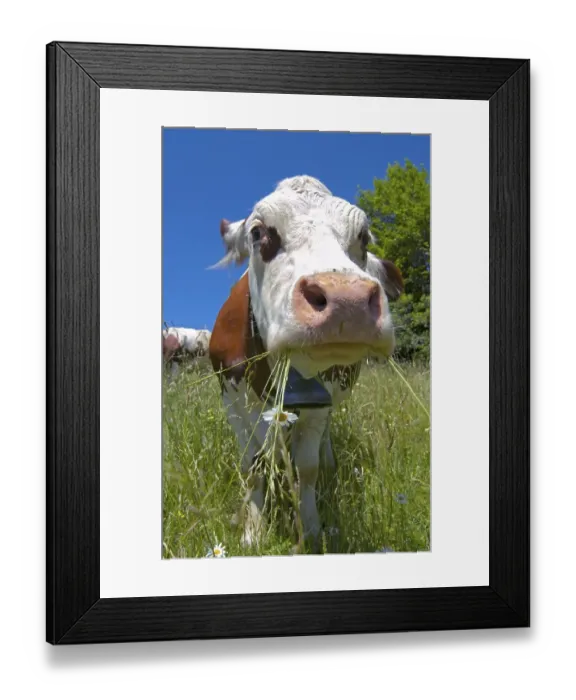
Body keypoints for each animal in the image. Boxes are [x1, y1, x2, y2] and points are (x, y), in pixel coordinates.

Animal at [208, 175, 404, 551]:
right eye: (258, 232)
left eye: (363, 236)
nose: (346, 301)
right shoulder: (232, 399)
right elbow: (253, 467)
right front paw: (253, 531)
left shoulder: (318, 402)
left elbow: (308, 468)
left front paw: (311, 529)